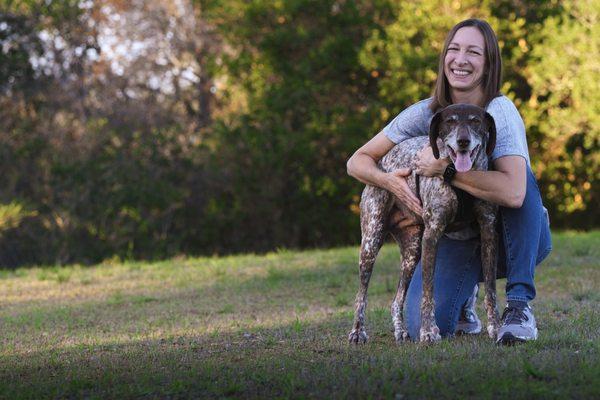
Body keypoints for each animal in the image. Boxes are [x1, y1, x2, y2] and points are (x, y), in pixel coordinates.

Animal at [346, 104, 502, 344]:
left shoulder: (488, 232)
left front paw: (496, 327)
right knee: (361, 295)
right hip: (371, 243)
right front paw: (428, 331)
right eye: (450, 121)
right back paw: (357, 332)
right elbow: (428, 292)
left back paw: (400, 331)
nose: (463, 141)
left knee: (396, 300)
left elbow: (492, 290)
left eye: (475, 121)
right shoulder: (432, 235)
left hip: (412, 253)